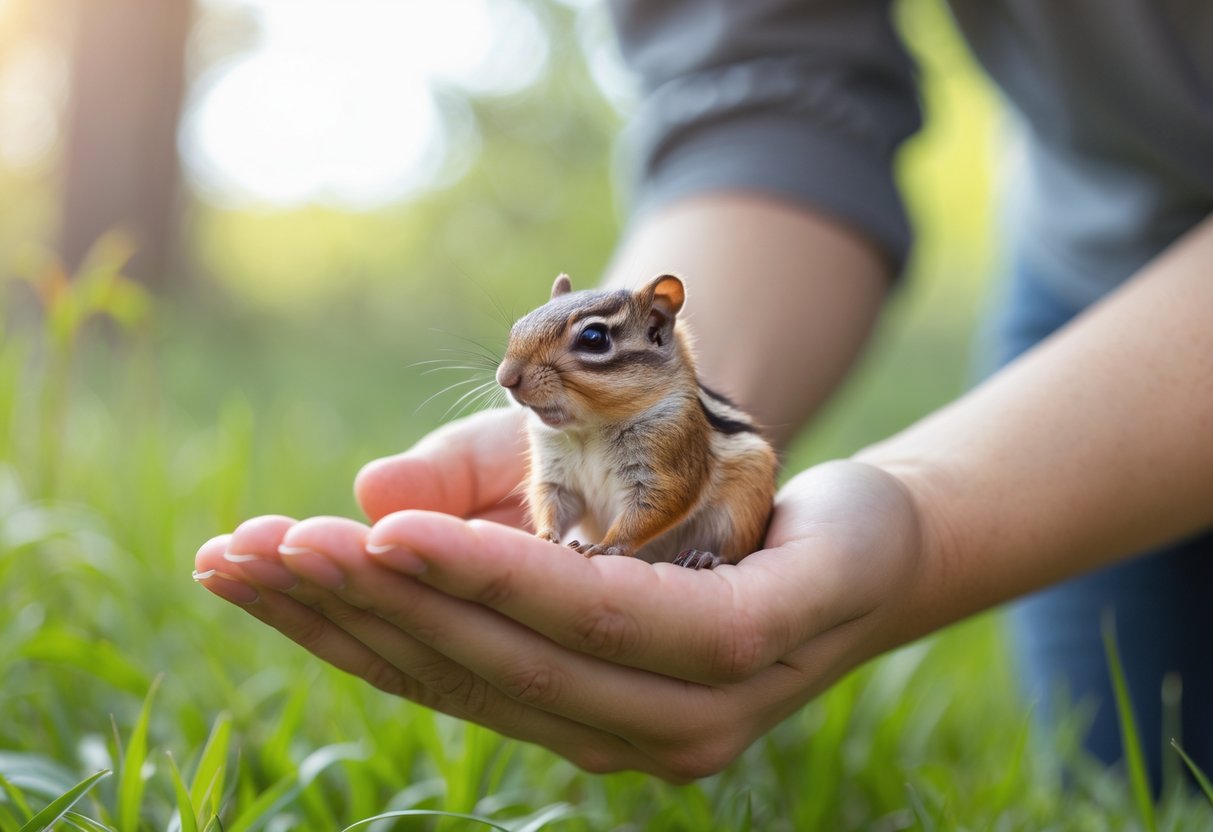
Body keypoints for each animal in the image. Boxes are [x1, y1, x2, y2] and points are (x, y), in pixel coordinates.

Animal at [495, 273, 777, 570]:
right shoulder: (556, 474)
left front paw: (605, 546)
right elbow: (550, 500)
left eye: (593, 337)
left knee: (734, 553)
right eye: (519, 326)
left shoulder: (668, 458)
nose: (505, 377)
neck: (591, 429)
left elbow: (654, 508)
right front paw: (545, 535)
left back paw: (705, 556)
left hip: (741, 514)